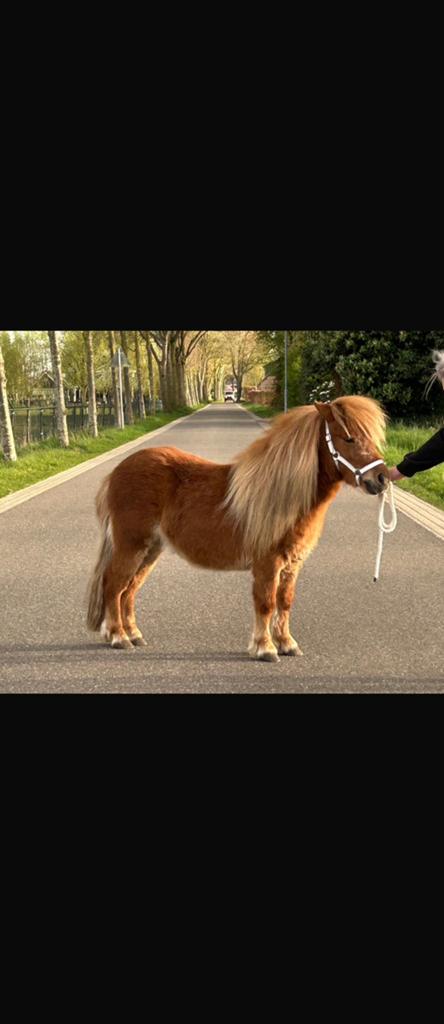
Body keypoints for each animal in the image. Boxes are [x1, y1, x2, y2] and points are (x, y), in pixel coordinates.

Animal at [86, 395, 388, 662]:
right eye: (348, 438)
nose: (382, 478)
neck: (281, 495)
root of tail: (117, 471)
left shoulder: (292, 565)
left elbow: (285, 602)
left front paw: (287, 644)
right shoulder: (267, 564)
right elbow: (266, 603)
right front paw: (265, 648)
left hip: (150, 551)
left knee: (129, 590)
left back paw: (133, 634)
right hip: (132, 546)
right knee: (114, 585)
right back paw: (118, 637)